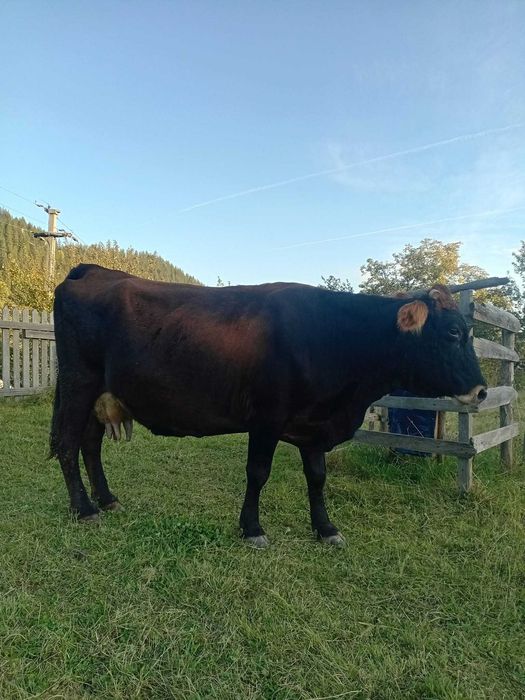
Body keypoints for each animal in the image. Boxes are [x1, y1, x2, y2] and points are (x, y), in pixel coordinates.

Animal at [50, 264, 487, 547]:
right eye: (453, 332)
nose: (482, 391)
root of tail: (94, 271)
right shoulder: (266, 418)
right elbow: (257, 473)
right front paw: (252, 529)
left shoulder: (314, 424)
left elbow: (317, 477)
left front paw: (326, 528)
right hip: (77, 384)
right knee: (68, 444)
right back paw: (84, 508)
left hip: (101, 395)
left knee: (90, 445)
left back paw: (107, 499)